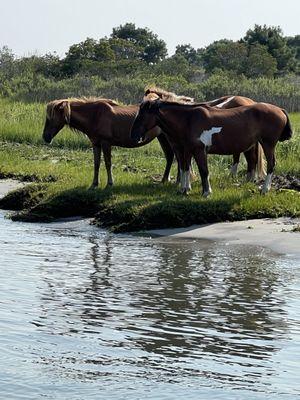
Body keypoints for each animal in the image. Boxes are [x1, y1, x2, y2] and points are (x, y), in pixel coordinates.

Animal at [41, 98, 177, 189]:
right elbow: (96, 164)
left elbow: (107, 163)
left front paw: (110, 184)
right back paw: (165, 180)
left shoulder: (106, 143)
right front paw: (94, 184)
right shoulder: (96, 144)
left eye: (51, 118)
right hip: (162, 137)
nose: (45, 137)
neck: (94, 115)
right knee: (170, 157)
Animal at [130, 98, 292, 195]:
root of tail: (280, 110)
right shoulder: (186, 150)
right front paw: (184, 189)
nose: (133, 136)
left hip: (268, 144)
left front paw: (206, 192)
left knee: (271, 164)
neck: (188, 120)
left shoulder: (199, 151)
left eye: (142, 115)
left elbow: (204, 171)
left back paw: (265, 189)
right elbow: (185, 168)